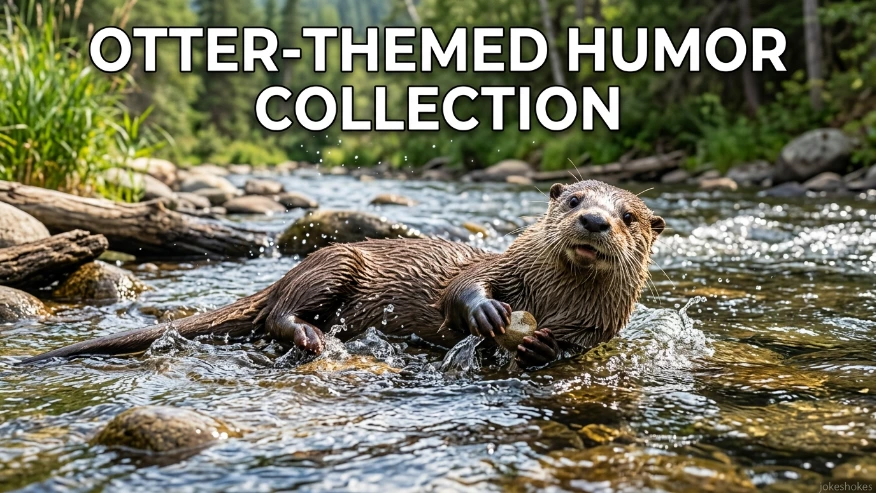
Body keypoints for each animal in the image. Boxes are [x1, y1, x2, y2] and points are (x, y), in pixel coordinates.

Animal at [22, 181, 665, 369]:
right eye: (574, 198)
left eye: (629, 216)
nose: (594, 219)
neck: (550, 296)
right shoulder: (499, 264)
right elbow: (461, 287)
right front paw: (488, 313)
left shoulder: (598, 329)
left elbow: (572, 346)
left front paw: (541, 346)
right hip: (335, 262)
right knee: (279, 314)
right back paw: (310, 335)